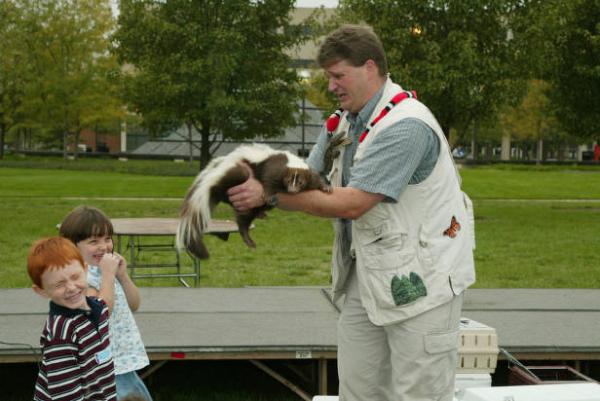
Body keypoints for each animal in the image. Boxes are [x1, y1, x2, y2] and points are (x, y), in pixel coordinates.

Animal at [176, 144, 330, 260]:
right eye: (288, 180)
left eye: (300, 182)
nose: (292, 190)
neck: (289, 162)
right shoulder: (273, 167)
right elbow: (269, 180)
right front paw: (269, 195)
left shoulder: (307, 174)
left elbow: (315, 180)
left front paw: (326, 187)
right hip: (240, 175)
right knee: (242, 218)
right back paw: (250, 236)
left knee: (245, 216)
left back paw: (258, 221)